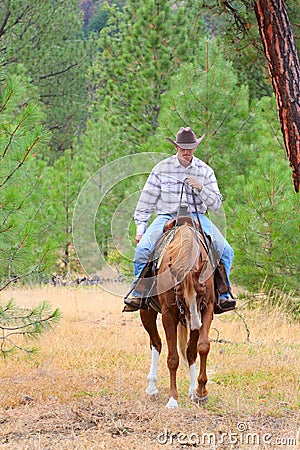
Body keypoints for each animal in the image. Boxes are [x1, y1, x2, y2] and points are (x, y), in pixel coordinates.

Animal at [139, 223, 214, 410]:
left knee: (190, 352)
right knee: (156, 344)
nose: (195, 325)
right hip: (147, 312)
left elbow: (202, 347)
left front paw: (200, 392)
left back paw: (193, 389)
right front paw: (173, 399)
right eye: (179, 296)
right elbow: (173, 358)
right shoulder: (168, 315)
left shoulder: (206, 309)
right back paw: (152, 387)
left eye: (202, 294)